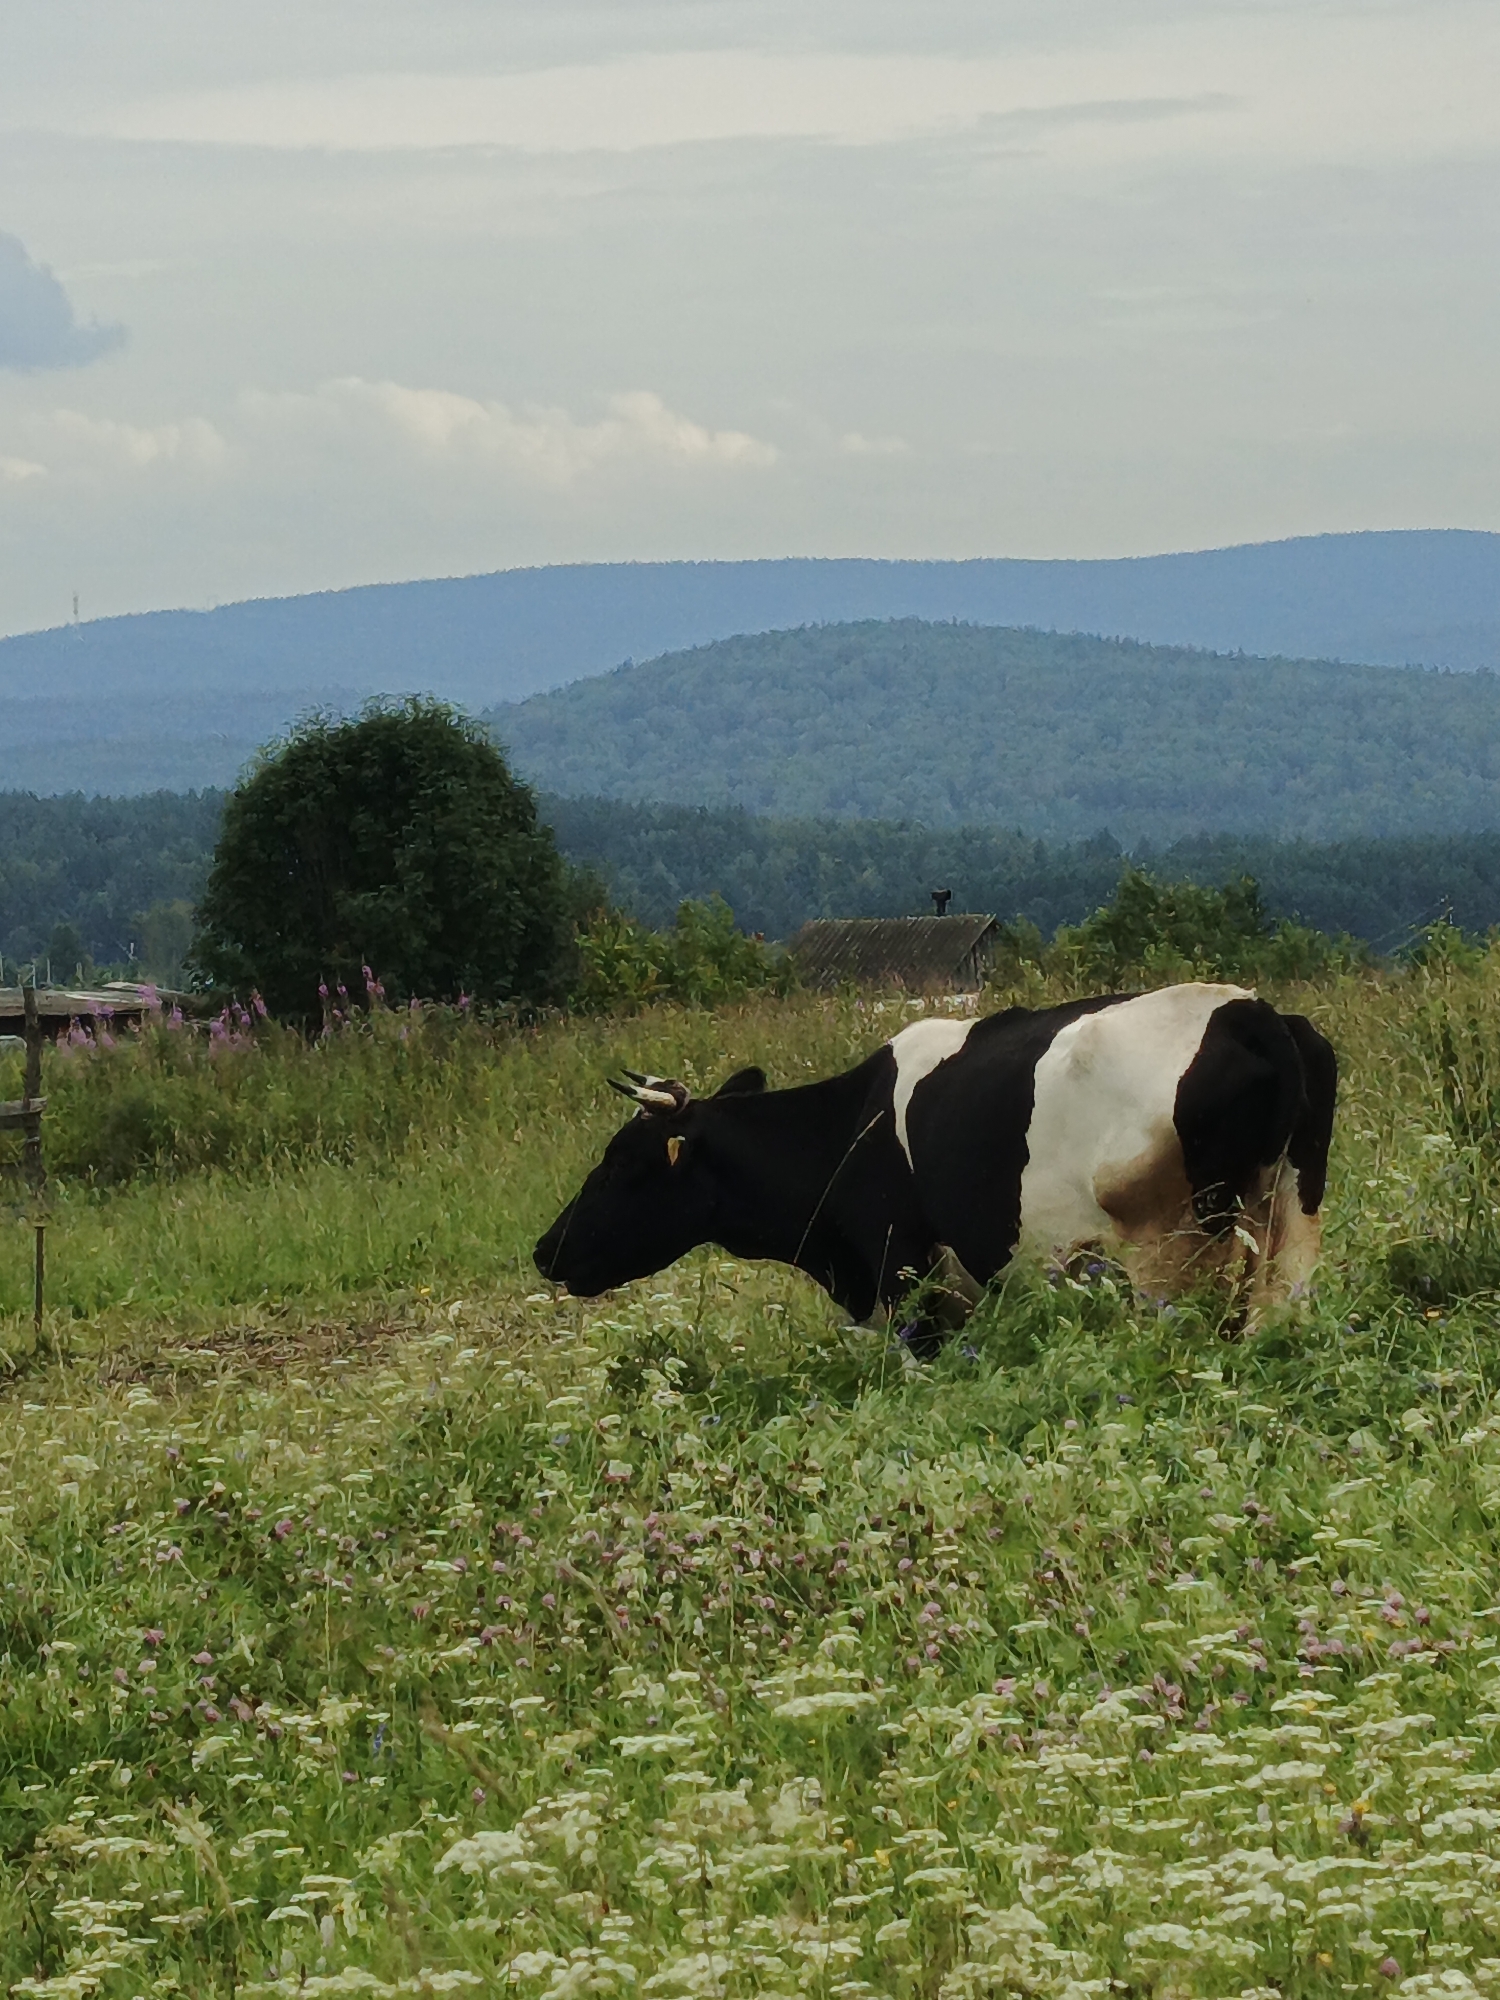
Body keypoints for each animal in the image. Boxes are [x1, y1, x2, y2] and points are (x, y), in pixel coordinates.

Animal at [533, 983, 1337, 1350]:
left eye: (619, 1162)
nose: (545, 1249)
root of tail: (1249, 1010)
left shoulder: (908, 1287)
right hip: (1292, 1228)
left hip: (1169, 1254)